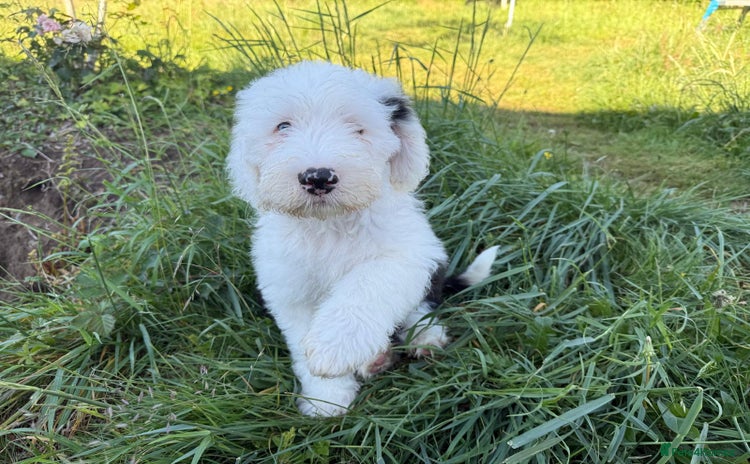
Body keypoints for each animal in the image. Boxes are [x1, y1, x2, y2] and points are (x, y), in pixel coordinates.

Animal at [227, 61, 497, 416]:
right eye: (282, 126)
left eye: (357, 129)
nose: (318, 177)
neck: (331, 224)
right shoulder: (288, 287)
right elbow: (300, 338)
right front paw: (325, 398)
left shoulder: (411, 251)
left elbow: (368, 283)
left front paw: (336, 346)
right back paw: (375, 360)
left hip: (432, 266)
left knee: (421, 305)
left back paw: (425, 338)